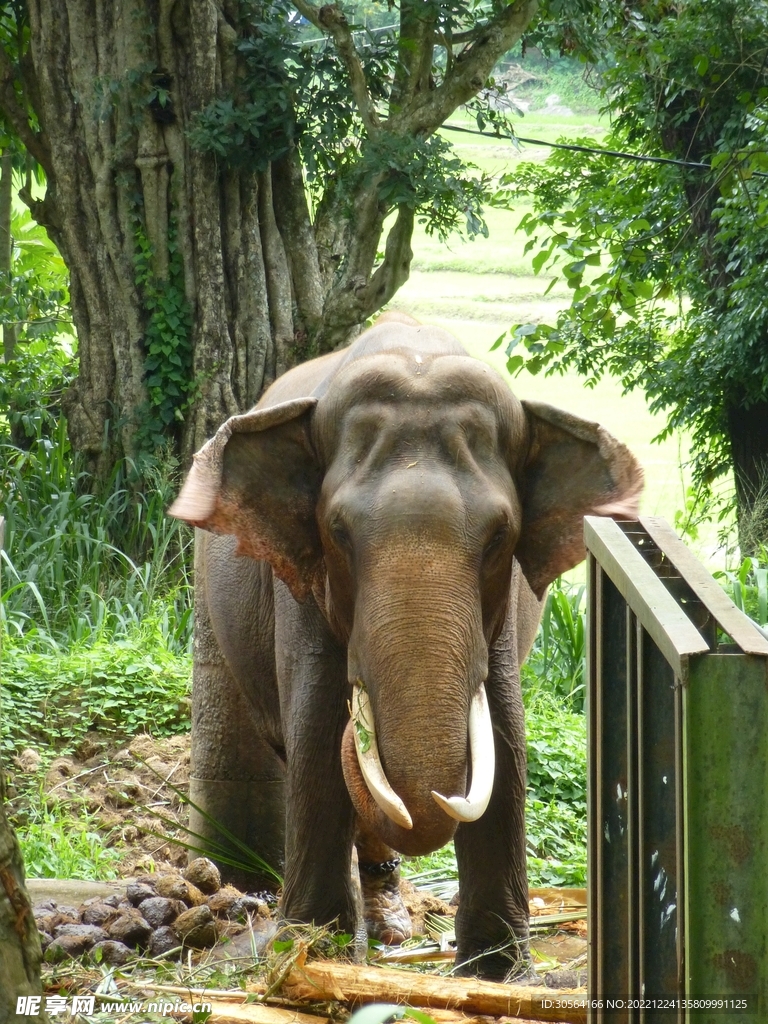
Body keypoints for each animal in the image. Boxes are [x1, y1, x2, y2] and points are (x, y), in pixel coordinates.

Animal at [170, 312, 642, 980]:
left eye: (501, 535)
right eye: (336, 531)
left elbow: (503, 729)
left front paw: (497, 974)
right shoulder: (299, 585)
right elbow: (317, 724)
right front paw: (312, 952)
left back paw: (392, 930)